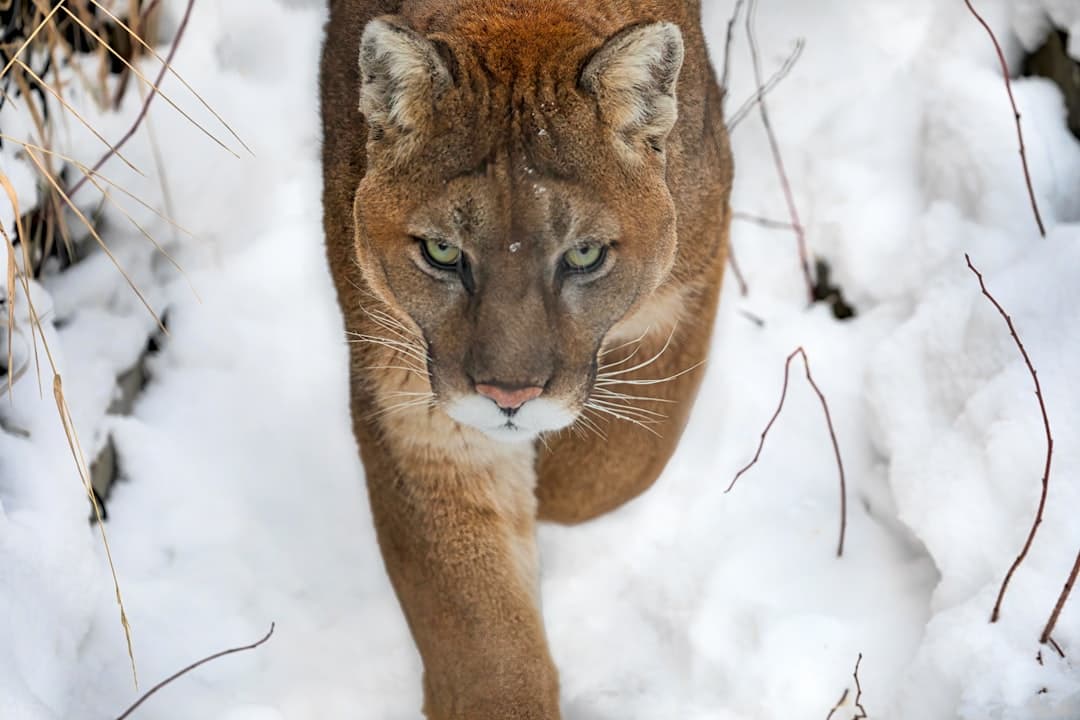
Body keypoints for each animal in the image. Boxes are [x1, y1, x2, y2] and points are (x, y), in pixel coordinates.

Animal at [320, 0, 732, 716]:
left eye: (584, 255)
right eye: (442, 252)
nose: (508, 397)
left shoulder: (687, 282)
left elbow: (614, 468)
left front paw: (553, 484)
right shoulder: (418, 408)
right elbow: (484, 642)